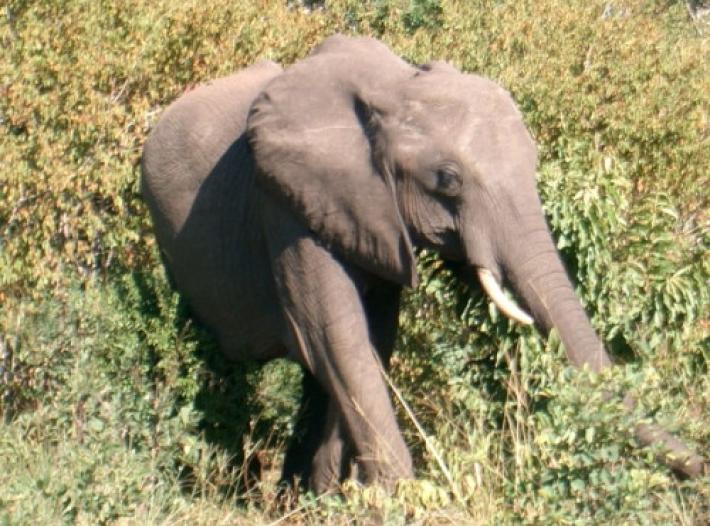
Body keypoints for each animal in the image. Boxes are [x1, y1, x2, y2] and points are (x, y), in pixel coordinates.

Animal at [141, 35, 704, 494]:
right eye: (448, 180)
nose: (700, 467)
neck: (394, 86)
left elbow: (370, 343)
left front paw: (334, 500)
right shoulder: (284, 204)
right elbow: (334, 337)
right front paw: (398, 499)